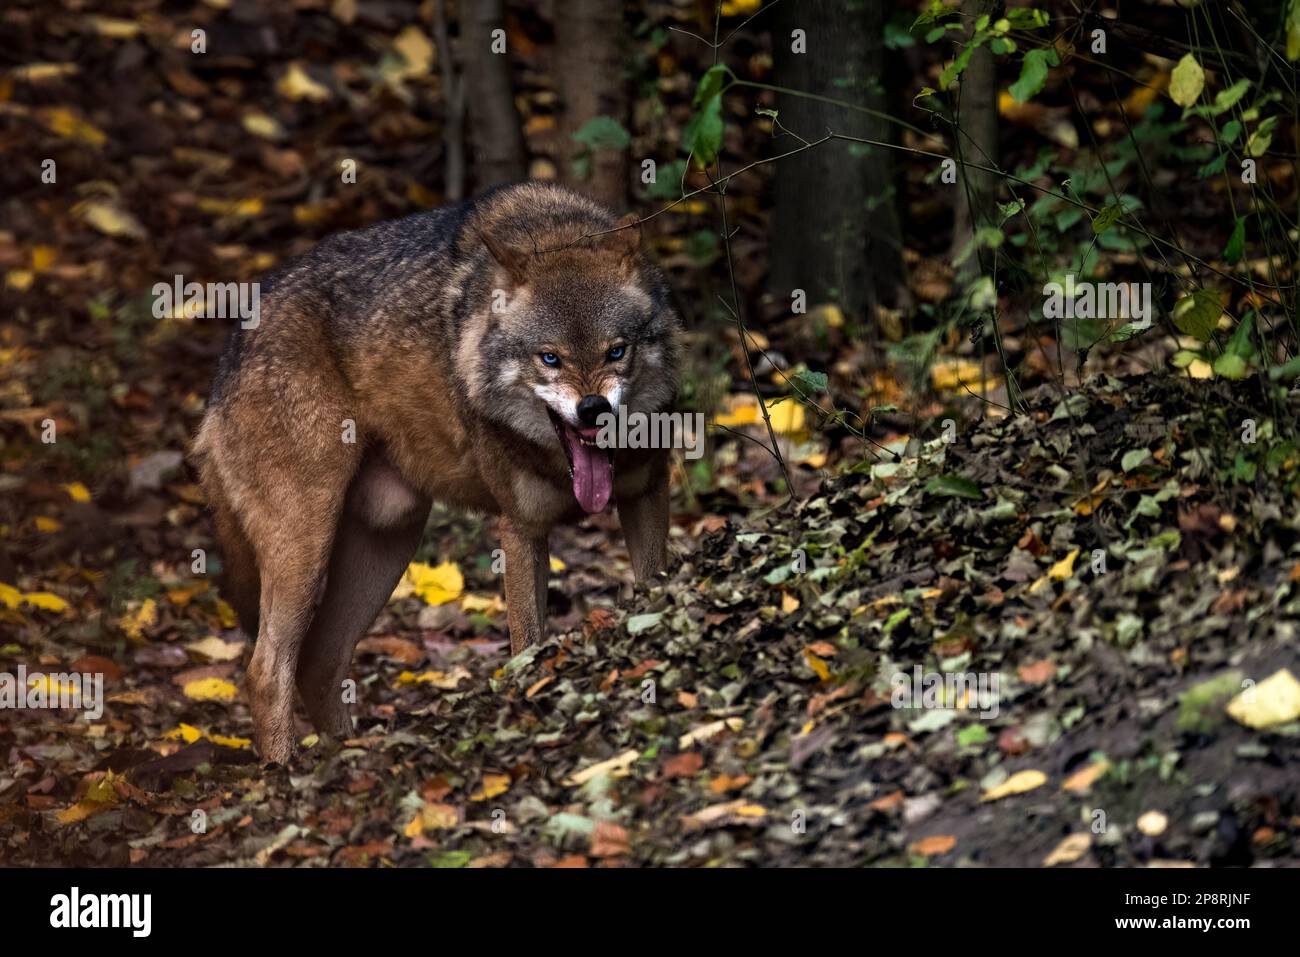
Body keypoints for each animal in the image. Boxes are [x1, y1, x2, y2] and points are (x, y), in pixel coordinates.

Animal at [195, 180, 681, 764]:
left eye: (616, 351)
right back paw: (285, 768)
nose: (593, 411)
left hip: (389, 539)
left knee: (318, 663)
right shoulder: (521, 527)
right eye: (550, 359)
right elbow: (526, 641)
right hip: (306, 545)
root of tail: (229, 356)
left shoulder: (646, 493)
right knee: (266, 672)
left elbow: (652, 585)